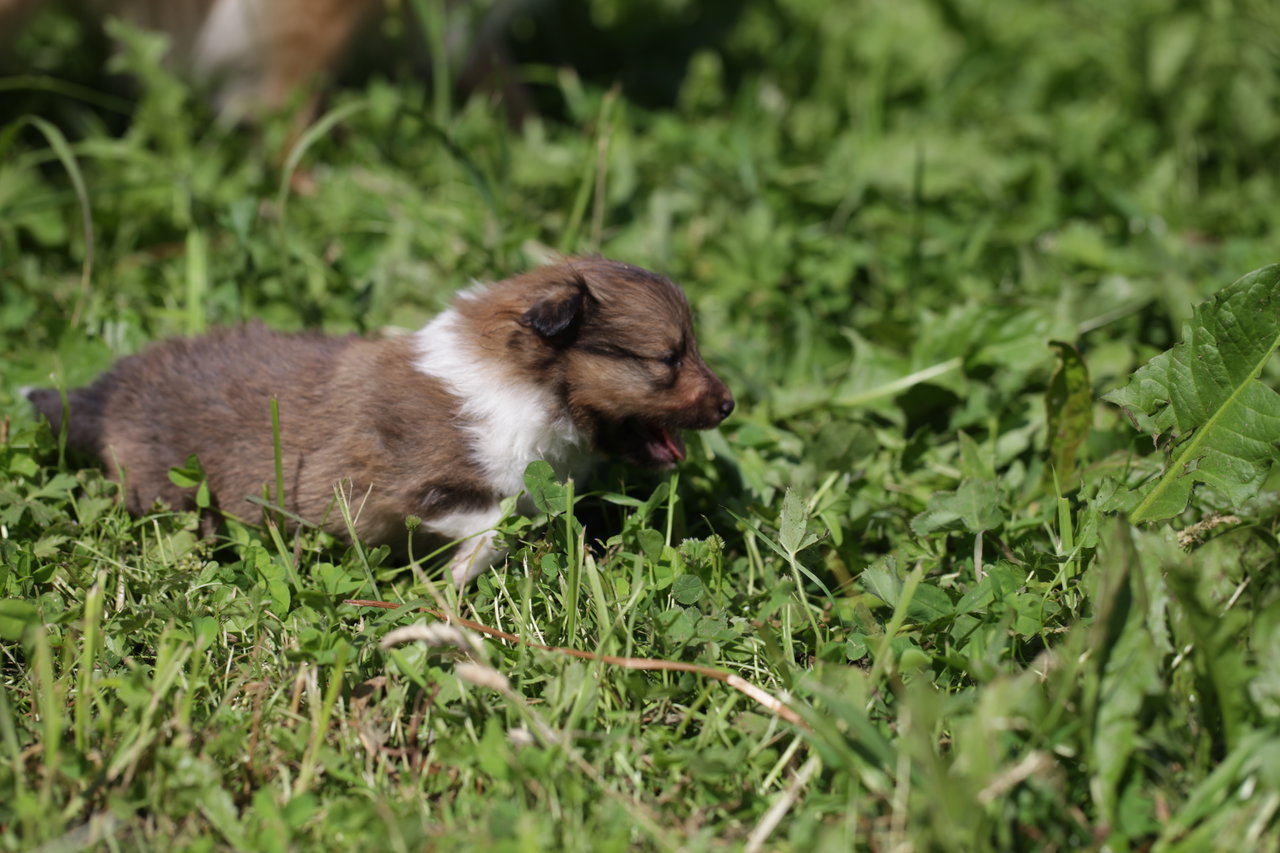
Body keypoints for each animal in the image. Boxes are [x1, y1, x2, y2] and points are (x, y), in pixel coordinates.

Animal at [27, 256, 732, 581]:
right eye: (669, 359)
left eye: (688, 348)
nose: (728, 404)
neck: (530, 388)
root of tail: (107, 393)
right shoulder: (397, 485)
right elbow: (496, 517)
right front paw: (457, 578)